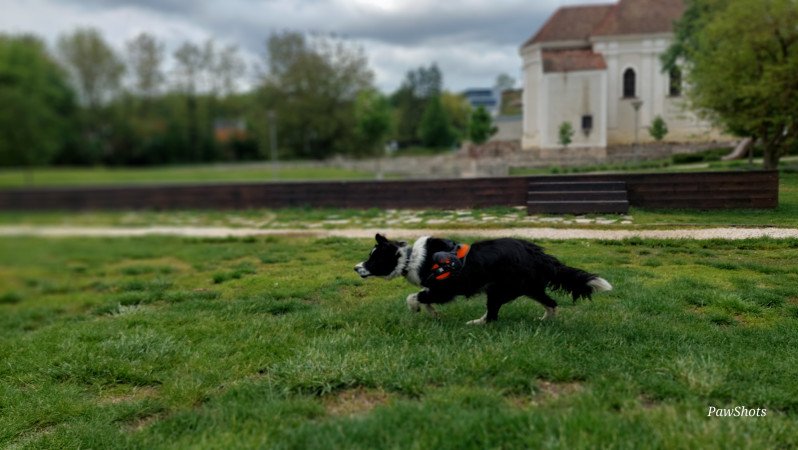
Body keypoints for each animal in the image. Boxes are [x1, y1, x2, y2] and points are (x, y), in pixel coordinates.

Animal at [354, 236, 612, 324]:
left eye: (373, 260)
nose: (356, 267)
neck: (410, 258)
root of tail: (538, 254)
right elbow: (425, 299)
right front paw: (433, 314)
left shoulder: (444, 287)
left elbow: (415, 296)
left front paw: (418, 308)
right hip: (527, 287)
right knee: (551, 302)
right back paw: (545, 320)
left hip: (500, 289)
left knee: (493, 316)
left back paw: (476, 323)